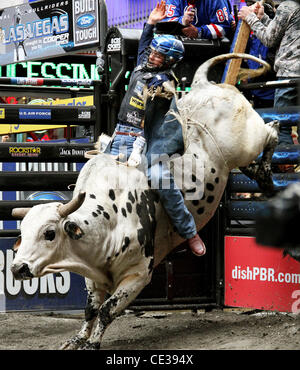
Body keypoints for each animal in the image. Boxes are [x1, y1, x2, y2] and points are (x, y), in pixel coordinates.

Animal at [11, 52, 278, 350]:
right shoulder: (93, 276)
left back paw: (267, 171)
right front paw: (77, 339)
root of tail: (203, 85)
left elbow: (108, 309)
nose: (18, 267)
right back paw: (260, 174)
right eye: (22, 233)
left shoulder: (138, 273)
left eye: (49, 233)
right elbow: (91, 309)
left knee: (271, 132)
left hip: (248, 142)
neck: (109, 216)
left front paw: (93, 342)